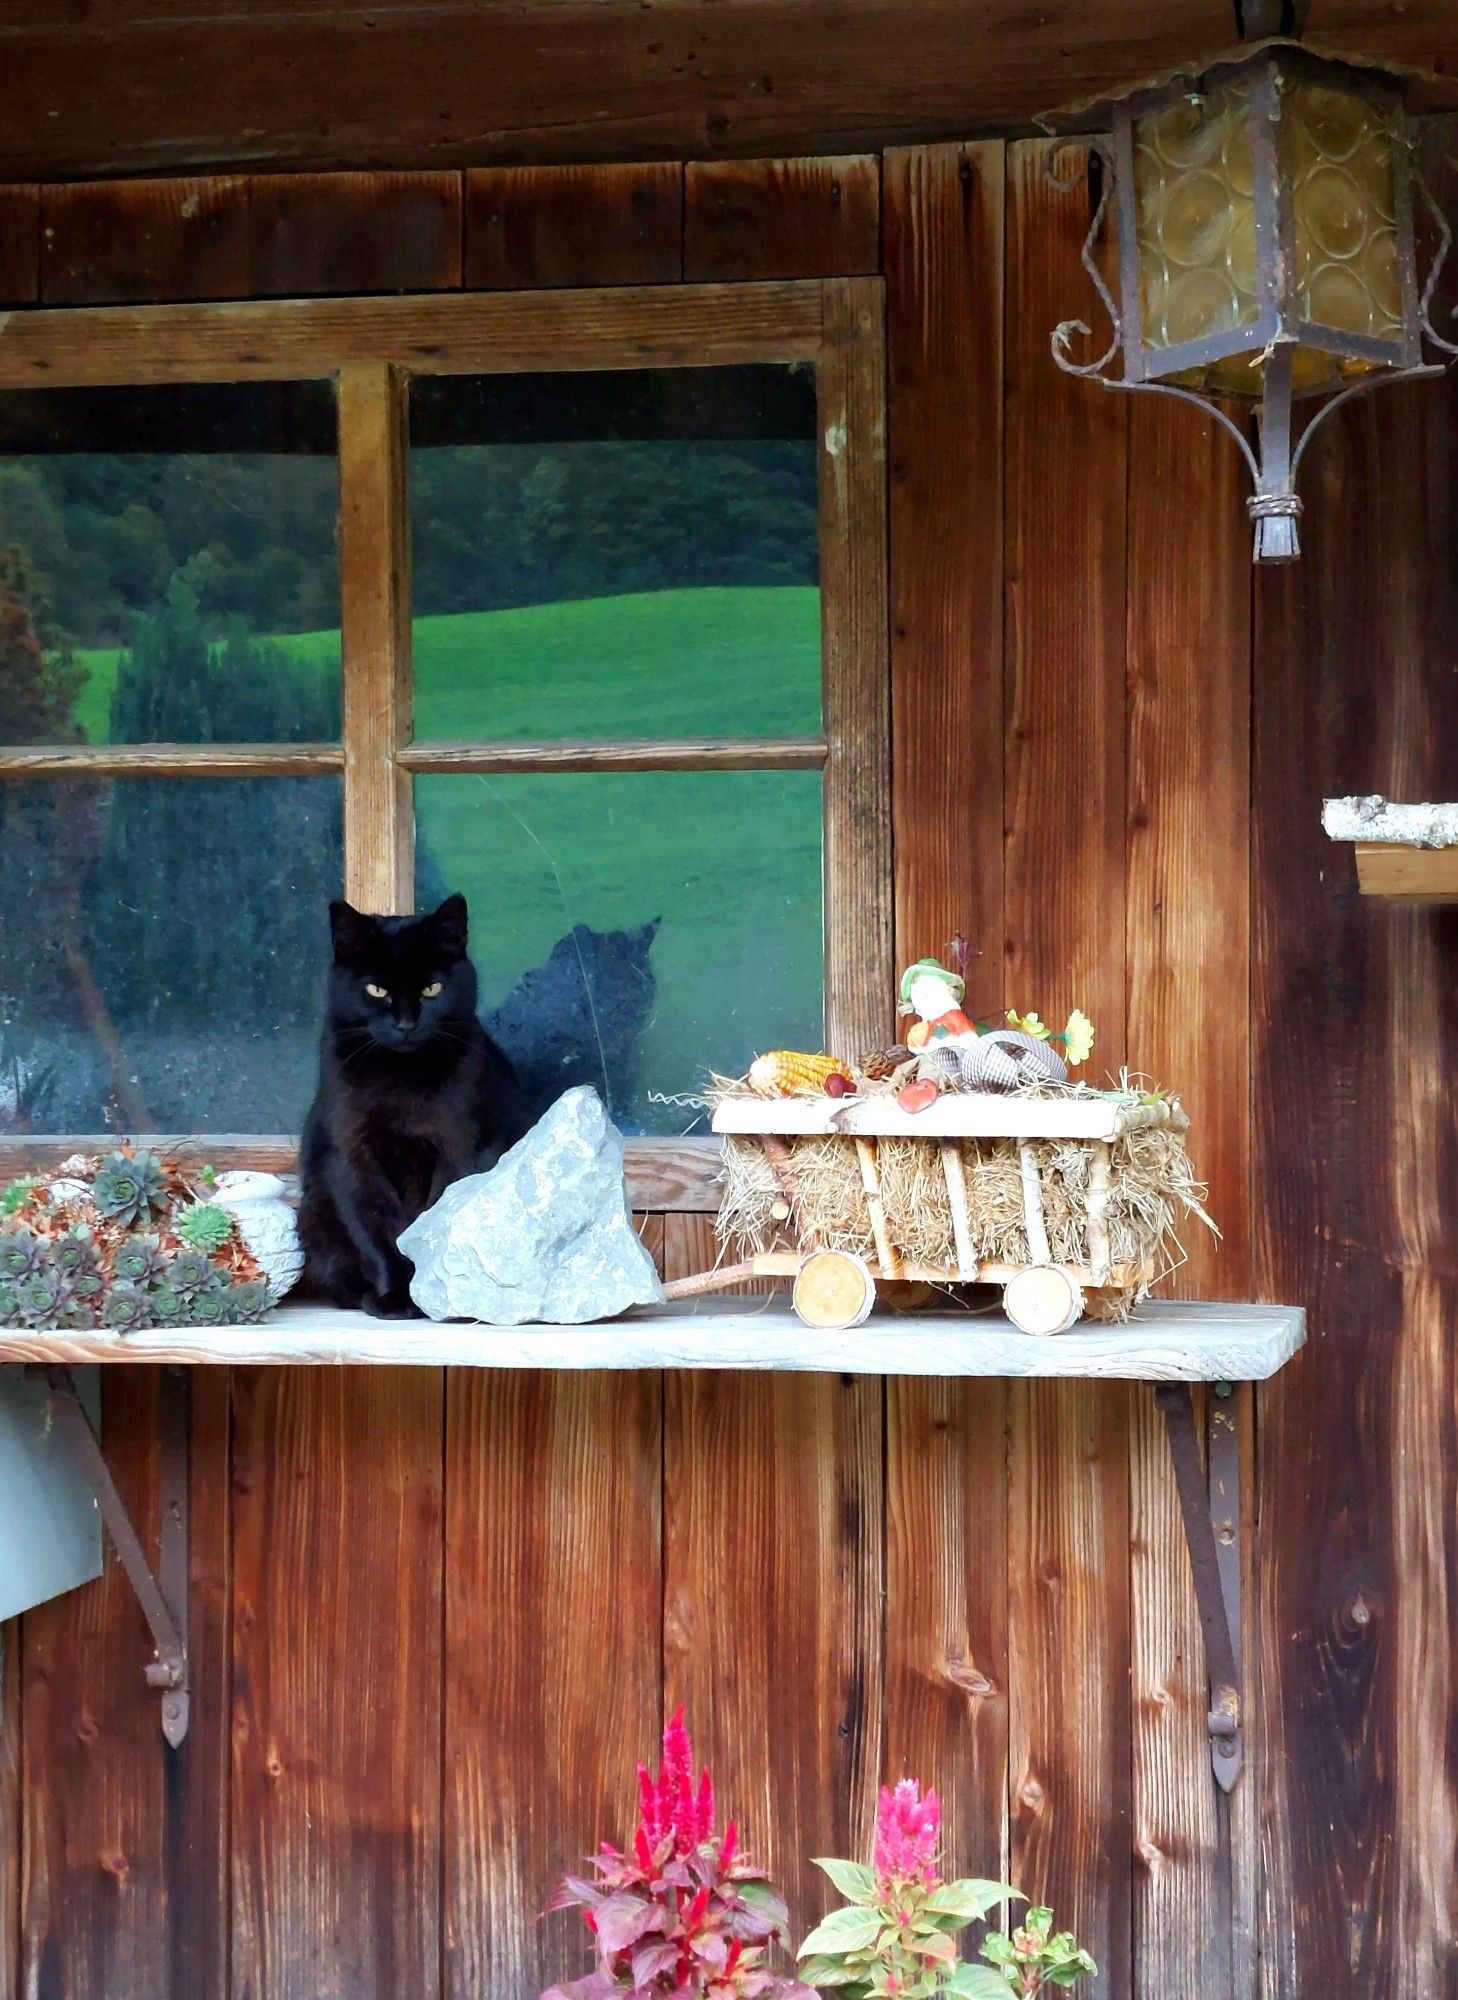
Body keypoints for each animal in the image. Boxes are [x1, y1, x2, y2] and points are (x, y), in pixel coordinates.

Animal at [298, 900, 528, 1320]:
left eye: (431, 988)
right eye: (376, 990)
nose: (405, 1024)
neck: (400, 1079)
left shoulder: (457, 1148)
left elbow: (430, 1221)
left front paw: (423, 1295)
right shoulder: (350, 1154)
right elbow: (375, 1228)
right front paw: (394, 1296)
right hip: (314, 1214)